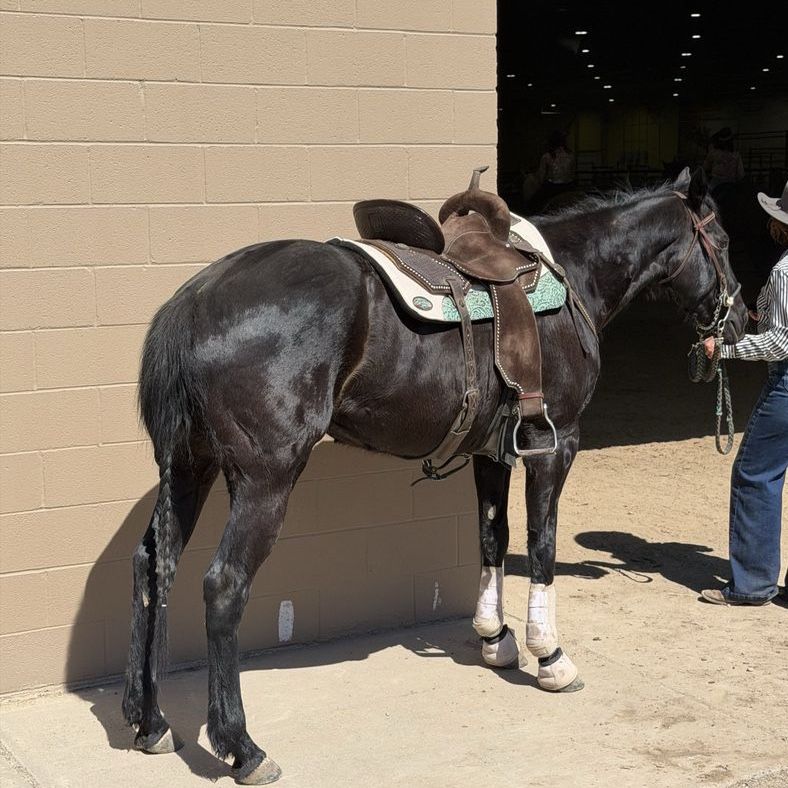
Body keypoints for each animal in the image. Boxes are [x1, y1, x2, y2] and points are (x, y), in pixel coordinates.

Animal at [121, 167, 747, 784]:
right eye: (722, 242)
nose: (741, 320)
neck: (572, 276)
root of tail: (196, 299)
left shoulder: (494, 450)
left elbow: (492, 537)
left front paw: (496, 641)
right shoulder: (558, 441)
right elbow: (540, 545)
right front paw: (549, 657)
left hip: (189, 465)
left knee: (154, 564)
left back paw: (150, 721)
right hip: (264, 477)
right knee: (224, 585)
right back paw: (242, 747)